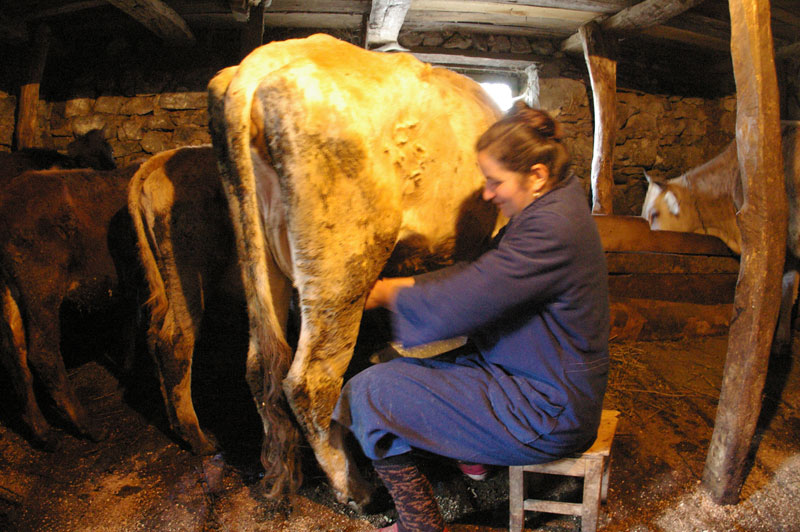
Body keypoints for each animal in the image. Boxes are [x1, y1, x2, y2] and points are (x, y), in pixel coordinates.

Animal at [0, 163, 138, 448]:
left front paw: (128, 370)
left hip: (8, 292)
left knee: (14, 355)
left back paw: (43, 434)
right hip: (42, 288)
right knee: (43, 353)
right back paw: (89, 427)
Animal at [209, 34, 504, 502]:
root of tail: (260, 61)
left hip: (259, 255)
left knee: (260, 364)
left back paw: (280, 473)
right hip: (344, 264)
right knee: (310, 380)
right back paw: (355, 484)